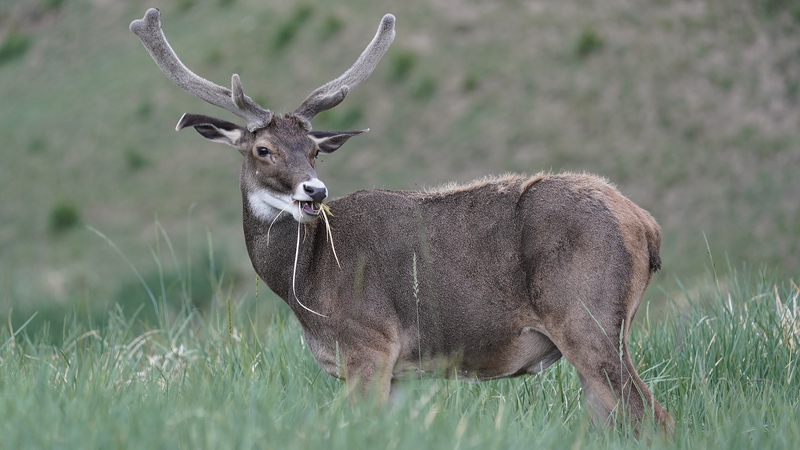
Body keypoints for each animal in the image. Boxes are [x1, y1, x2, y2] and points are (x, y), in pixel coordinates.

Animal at [130, 8, 673, 432]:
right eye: (263, 149)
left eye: (313, 151)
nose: (315, 191)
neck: (307, 283)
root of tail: (647, 227)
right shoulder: (395, 372)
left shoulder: (368, 344)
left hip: (586, 315)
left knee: (651, 413)